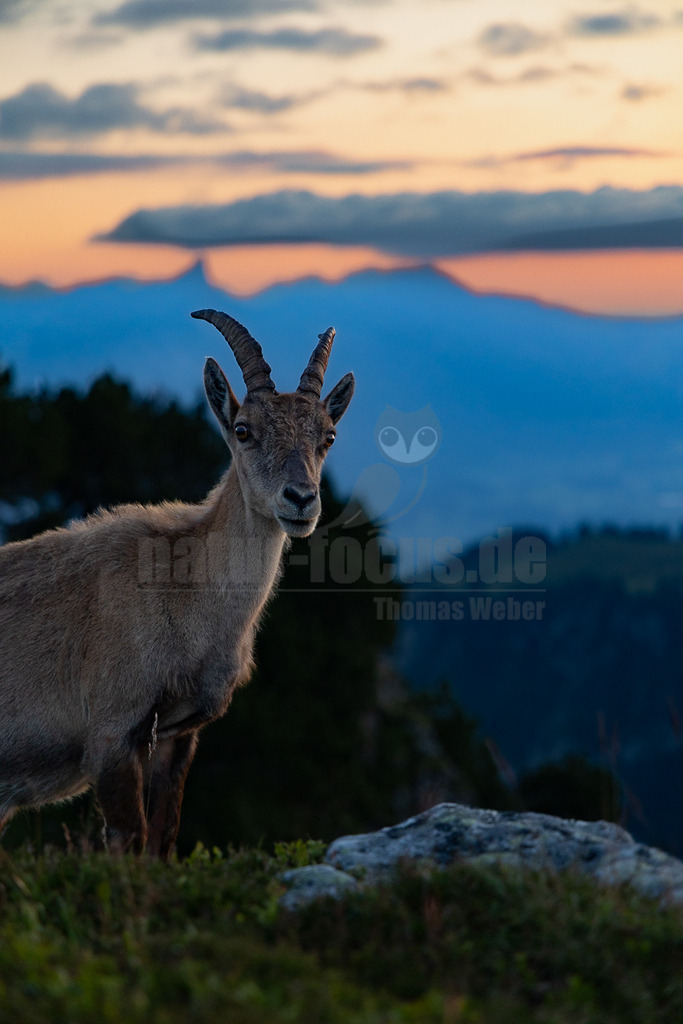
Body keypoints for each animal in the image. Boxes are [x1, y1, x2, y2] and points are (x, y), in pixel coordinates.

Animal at [0, 309, 354, 856]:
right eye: (243, 430)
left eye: (329, 436)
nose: (300, 499)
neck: (185, 597)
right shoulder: (113, 730)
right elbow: (129, 838)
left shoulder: (177, 735)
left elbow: (162, 838)